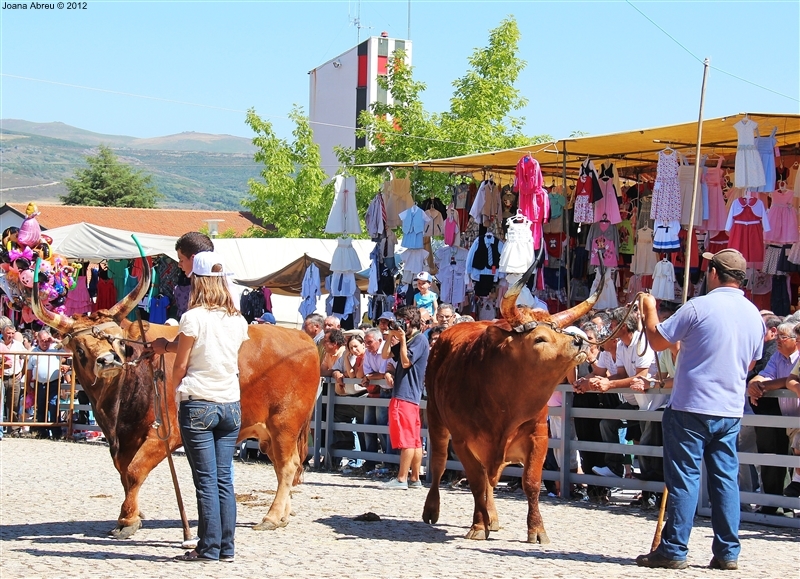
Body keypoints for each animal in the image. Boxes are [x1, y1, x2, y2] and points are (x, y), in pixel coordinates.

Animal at [31, 258, 318, 540]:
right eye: (80, 349)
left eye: (119, 342)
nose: (108, 361)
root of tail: (302, 337)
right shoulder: (125, 439)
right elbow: (124, 472)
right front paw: (130, 513)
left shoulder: (165, 434)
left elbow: (134, 471)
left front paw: (127, 520)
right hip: (268, 433)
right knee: (284, 466)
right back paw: (282, 515)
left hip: (284, 425)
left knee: (287, 467)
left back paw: (271, 516)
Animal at [424, 266, 600, 548]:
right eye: (539, 338)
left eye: (560, 331)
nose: (580, 341)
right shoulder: (462, 442)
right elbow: (475, 482)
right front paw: (477, 526)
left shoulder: (538, 436)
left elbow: (531, 482)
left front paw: (537, 530)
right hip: (436, 419)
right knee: (440, 464)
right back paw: (433, 510)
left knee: (489, 479)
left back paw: (492, 517)